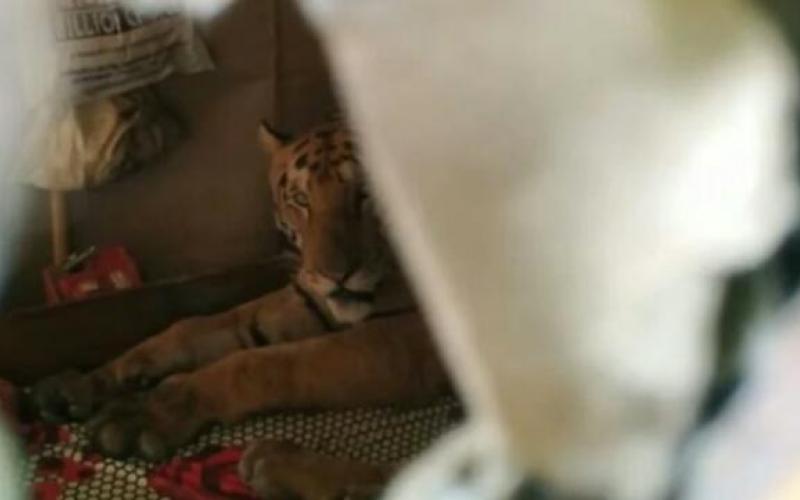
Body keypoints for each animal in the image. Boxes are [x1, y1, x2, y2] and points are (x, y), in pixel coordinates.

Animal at [29, 118, 451, 498]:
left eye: (366, 193)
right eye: (301, 200)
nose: (335, 275)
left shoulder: (403, 341)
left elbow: (259, 364)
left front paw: (145, 413)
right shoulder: (307, 301)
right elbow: (194, 329)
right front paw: (84, 385)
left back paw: (279, 466)